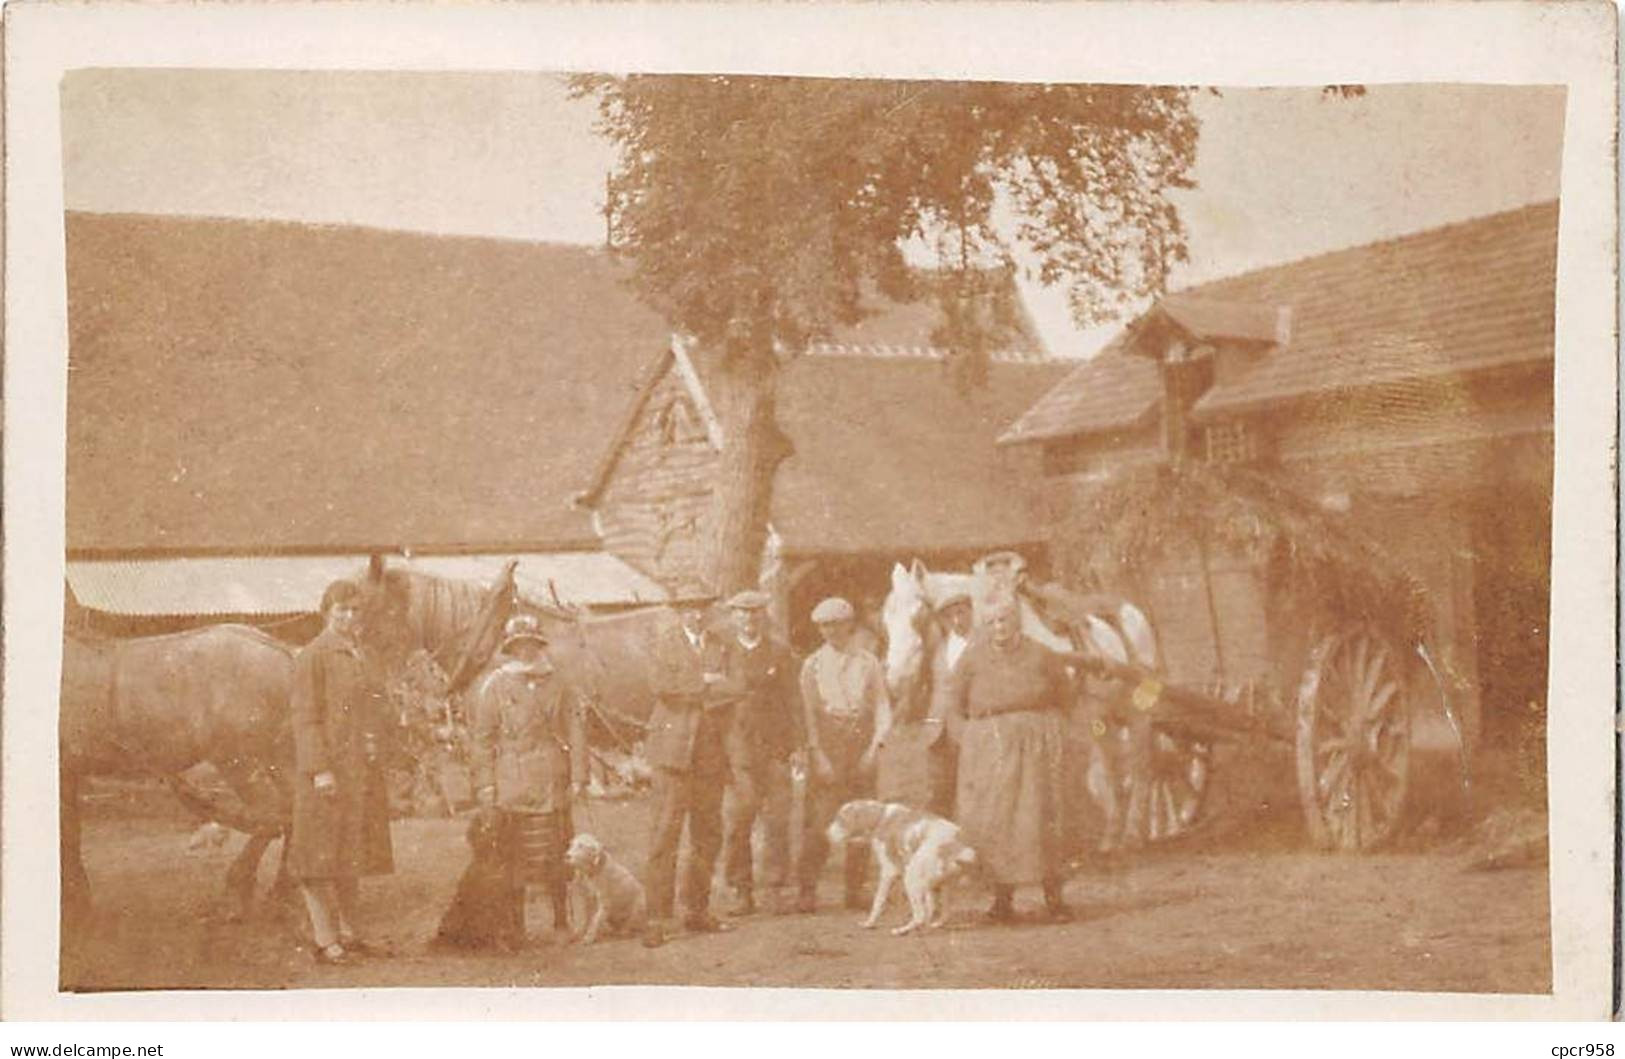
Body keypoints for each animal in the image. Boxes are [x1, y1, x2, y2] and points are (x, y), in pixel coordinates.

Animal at [825, 799, 975, 942]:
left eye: (840, 819)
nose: (826, 834)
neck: (880, 818)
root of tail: (953, 843)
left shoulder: (888, 872)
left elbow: (878, 901)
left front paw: (869, 923)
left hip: (911, 880)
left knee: (920, 915)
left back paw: (901, 931)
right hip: (939, 885)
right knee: (941, 913)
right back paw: (928, 927)